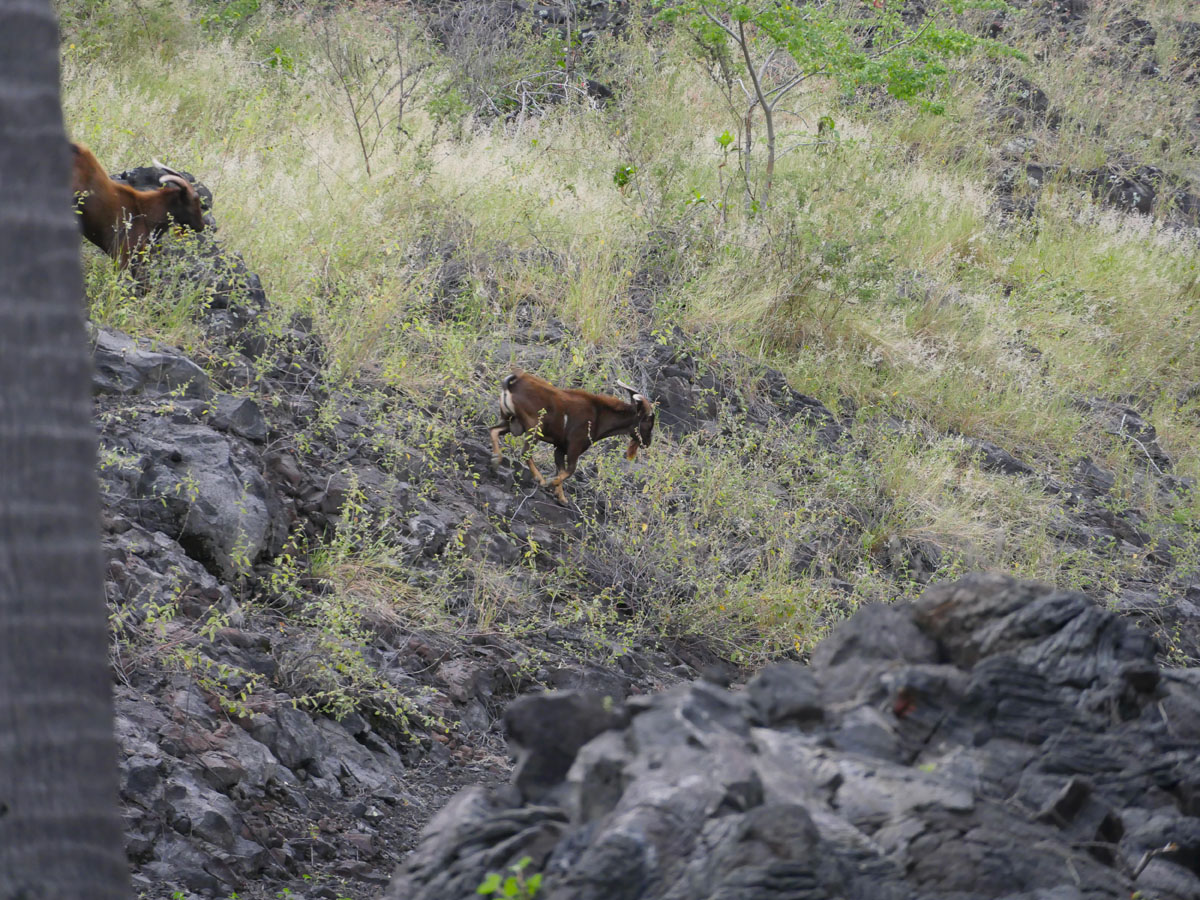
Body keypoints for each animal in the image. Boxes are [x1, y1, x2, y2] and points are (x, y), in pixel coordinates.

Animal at [487, 367, 657, 508]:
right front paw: (550, 483)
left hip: (510, 421)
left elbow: (562, 469)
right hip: (534, 428)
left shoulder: (560, 448)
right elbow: (570, 470)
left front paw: (561, 498)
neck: (598, 415)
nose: (647, 442)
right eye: (648, 420)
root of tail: (512, 384)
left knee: (494, 430)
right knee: (525, 452)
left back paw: (496, 460)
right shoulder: (575, 445)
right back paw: (540, 479)